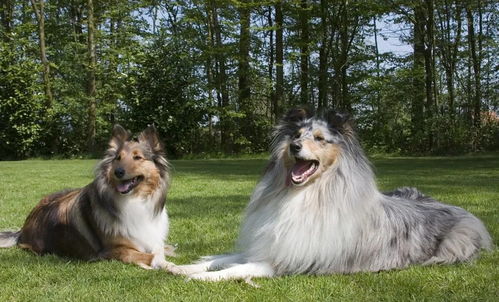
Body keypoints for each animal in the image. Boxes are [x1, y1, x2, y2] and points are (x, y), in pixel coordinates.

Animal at [0, 124, 175, 268]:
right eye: (118, 158)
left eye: (137, 157)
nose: (118, 172)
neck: (134, 200)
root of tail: (23, 229)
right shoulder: (109, 251)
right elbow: (150, 257)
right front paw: (169, 266)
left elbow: (157, 249)